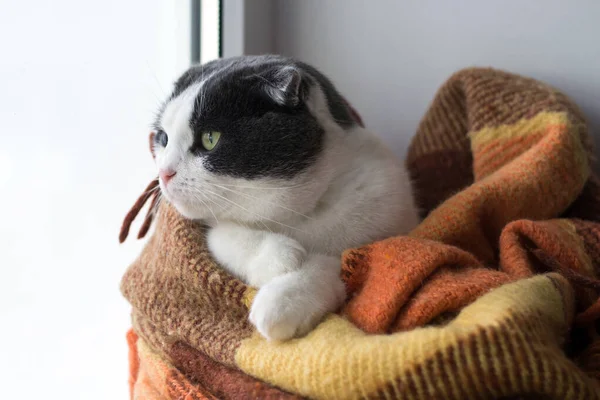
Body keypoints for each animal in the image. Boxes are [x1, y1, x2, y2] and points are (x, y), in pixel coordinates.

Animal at [152, 54, 420, 340]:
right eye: (163, 138)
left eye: (210, 139)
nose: (164, 173)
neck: (298, 217)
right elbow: (222, 235)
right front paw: (280, 258)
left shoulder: (383, 221)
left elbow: (336, 262)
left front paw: (284, 301)